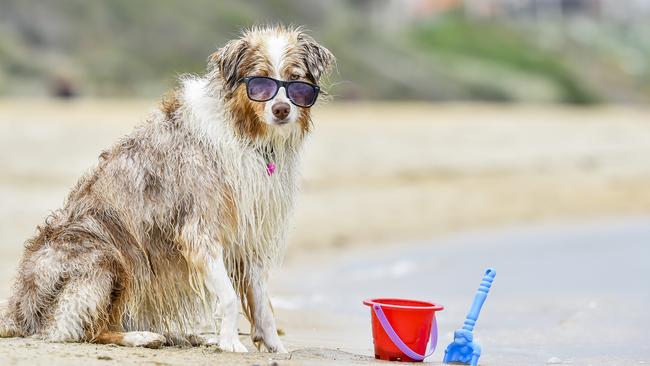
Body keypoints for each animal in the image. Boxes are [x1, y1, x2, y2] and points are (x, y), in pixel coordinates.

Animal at [0, 24, 334, 354]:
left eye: (296, 81)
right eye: (260, 80)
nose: (281, 110)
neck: (244, 131)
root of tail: (16, 310)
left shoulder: (248, 233)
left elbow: (263, 301)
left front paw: (275, 347)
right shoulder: (201, 230)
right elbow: (227, 297)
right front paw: (230, 342)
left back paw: (187, 336)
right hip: (103, 256)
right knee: (81, 330)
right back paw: (143, 337)